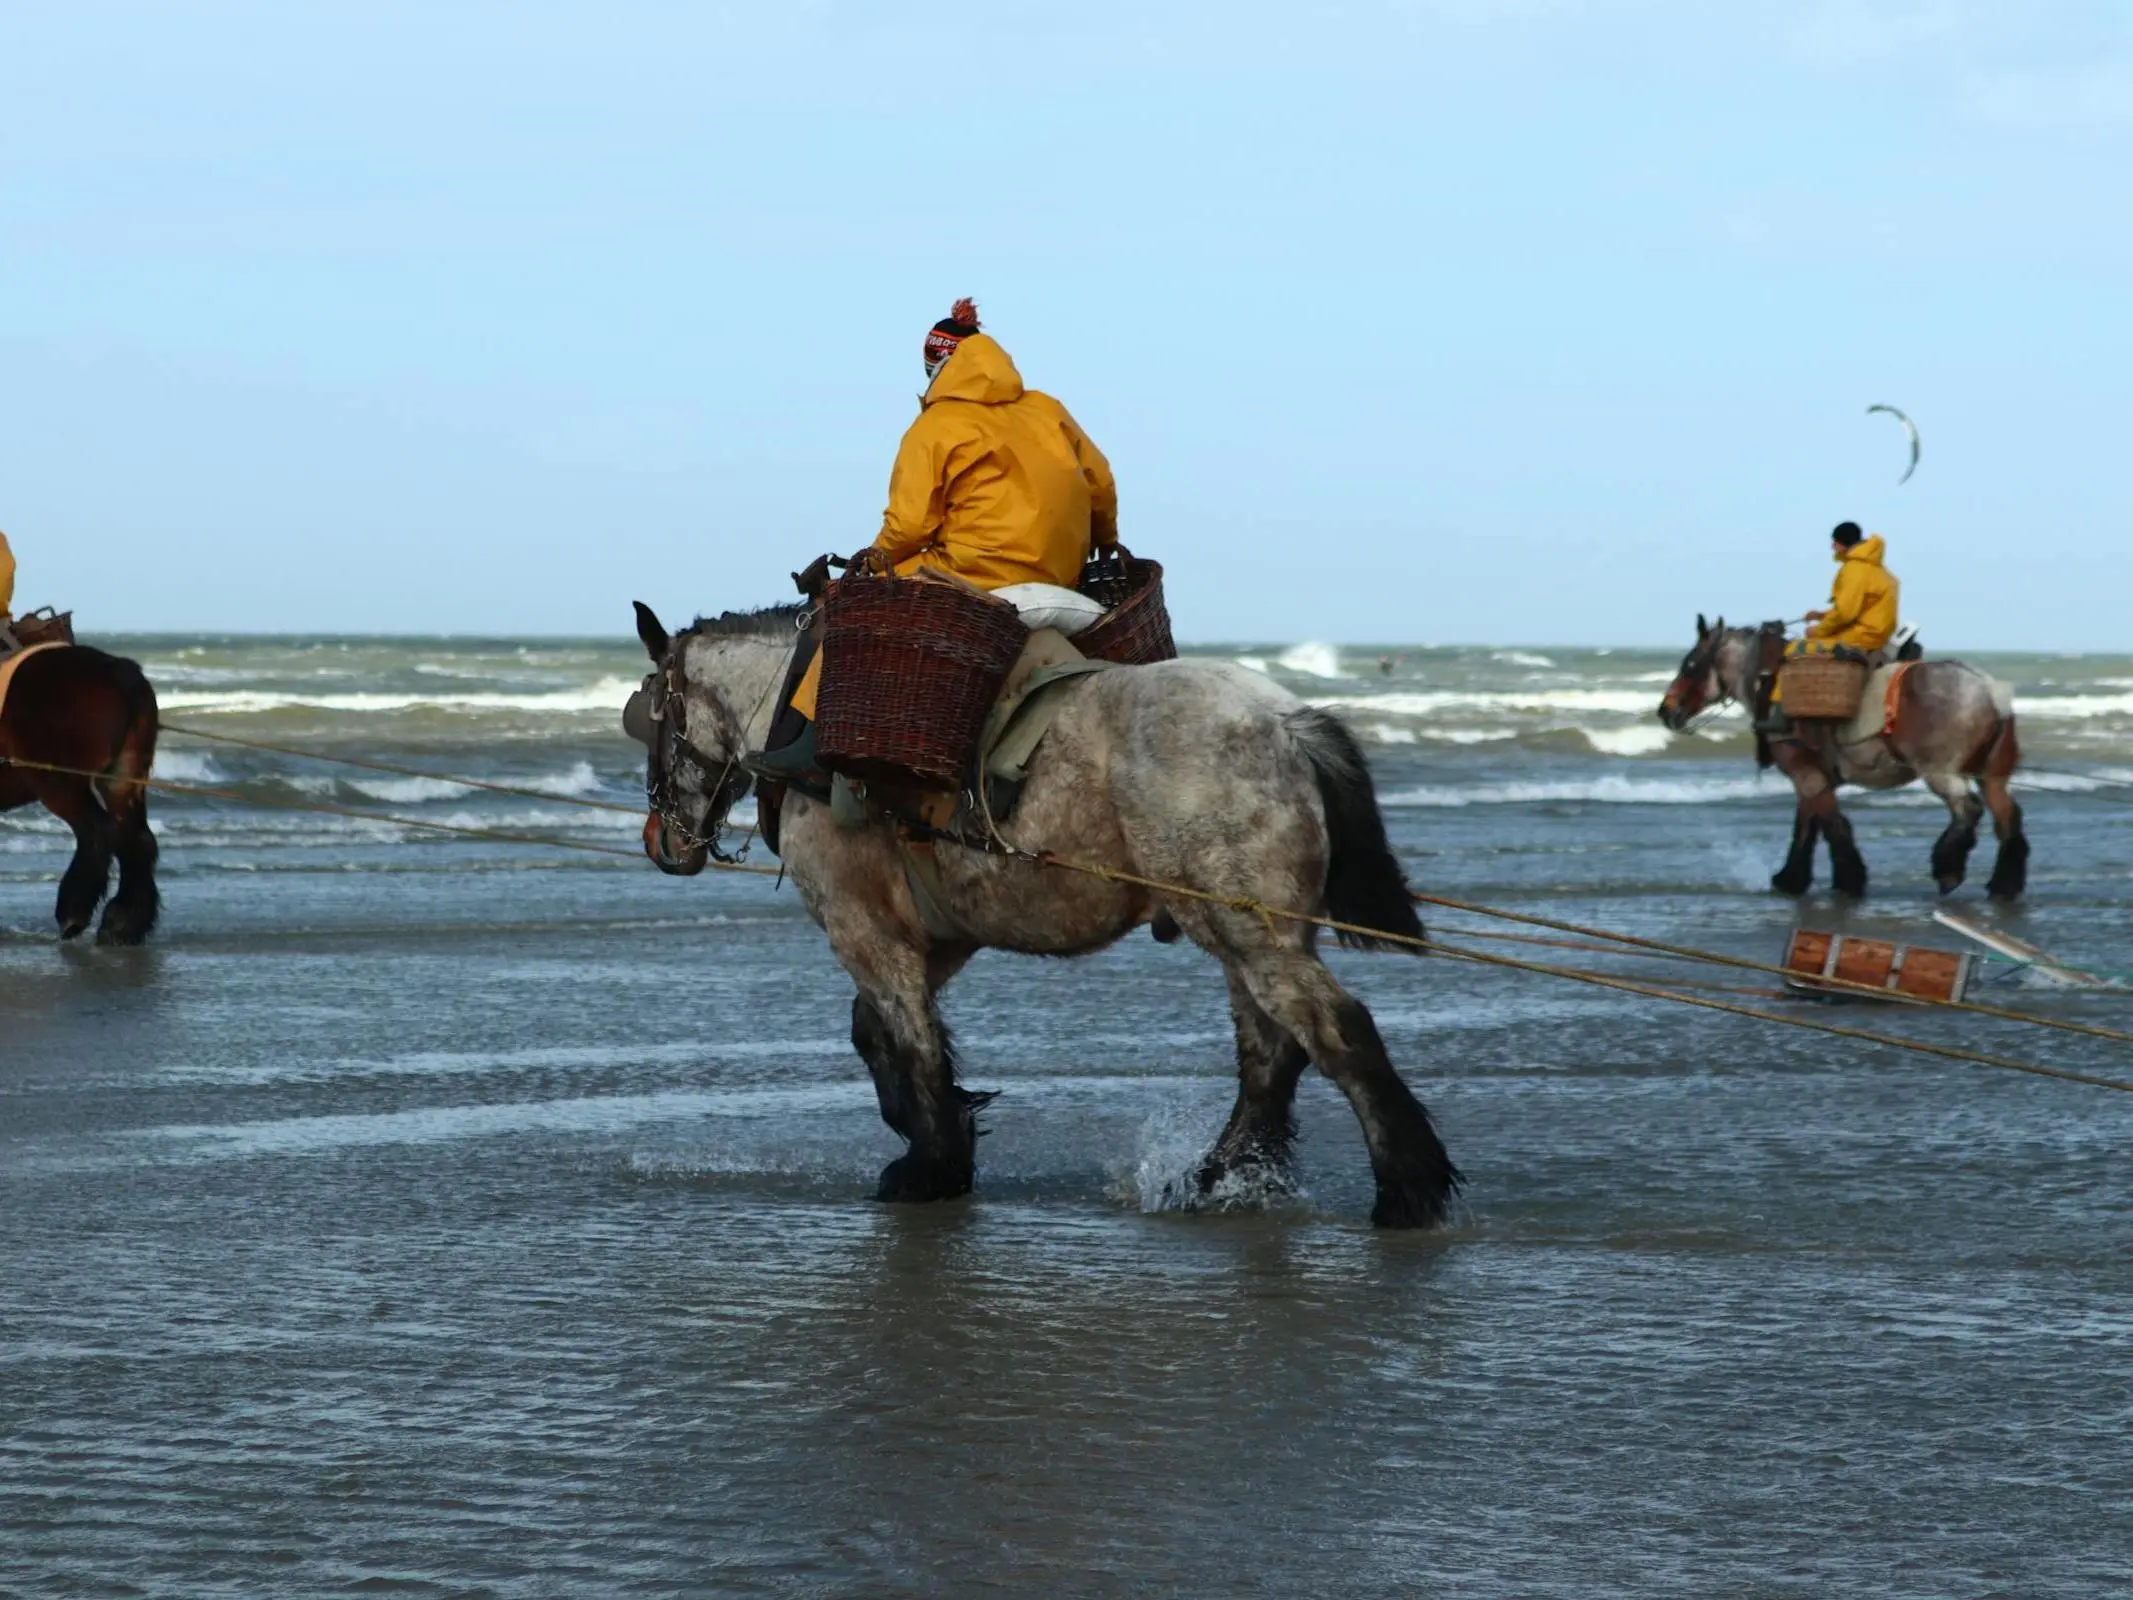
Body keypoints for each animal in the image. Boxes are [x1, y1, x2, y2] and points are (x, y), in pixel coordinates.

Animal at [0, 644, 162, 947]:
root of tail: (121, 671)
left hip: (59, 783)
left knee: (96, 833)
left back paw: (75, 913)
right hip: (121, 781)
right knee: (137, 839)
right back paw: (124, 922)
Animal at [622, 605, 1458, 1237]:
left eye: (650, 716)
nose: (661, 839)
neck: (800, 710)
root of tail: (1285, 719)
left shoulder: (866, 931)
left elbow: (909, 1043)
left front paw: (929, 1165)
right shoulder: (940, 936)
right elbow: (882, 1037)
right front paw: (943, 1137)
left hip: (1246, 931)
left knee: (1337, 1032)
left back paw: (1405, 1189)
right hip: (1247, 930)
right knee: (1272, 1052)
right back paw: (1225, 1175)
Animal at [1655, 618, 2022, 904]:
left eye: (1689, 665)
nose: (1665, 710)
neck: (1771, 681)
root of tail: (1989, 691)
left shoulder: (1806, 773)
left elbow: (1835, 826)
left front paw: (1848, 880)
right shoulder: (1812, 775)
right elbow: (1806, 826)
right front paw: (1791, 878)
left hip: (1940, 772)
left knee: (1968, 810)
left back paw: (1948, 868)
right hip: (1991, 776)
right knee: (2007, 815)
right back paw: (2004, 884)